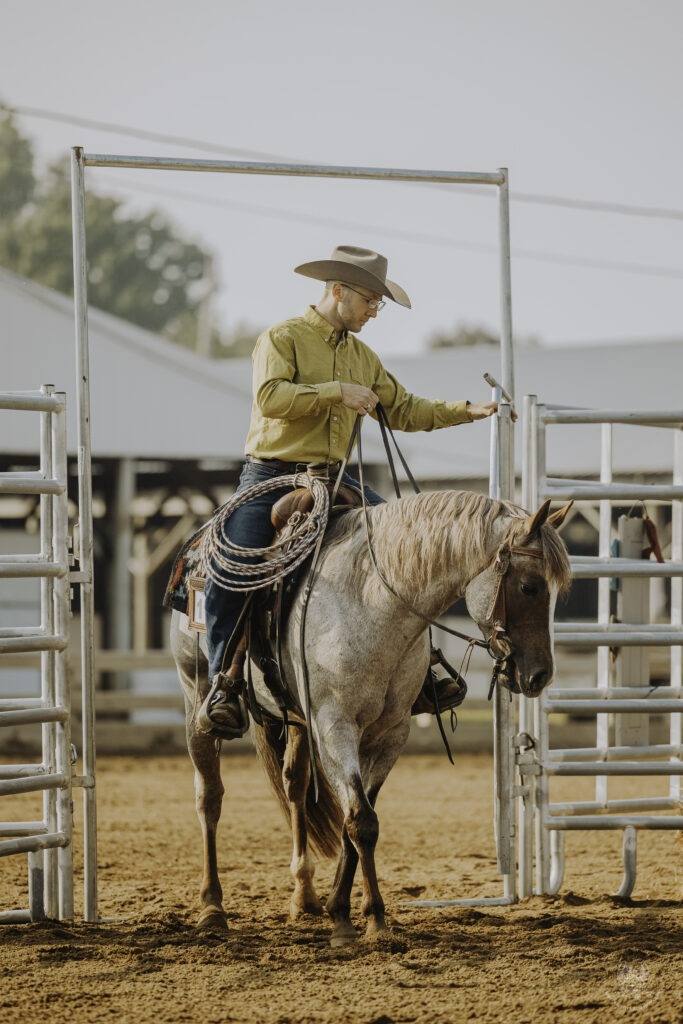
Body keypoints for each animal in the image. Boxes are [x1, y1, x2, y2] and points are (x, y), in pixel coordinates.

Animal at [169, 490, 572, 945]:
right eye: (529, 586)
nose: (539, 675)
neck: (371, 600)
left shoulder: (390, 732)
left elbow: (358, 820)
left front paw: (343, 910)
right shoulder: (334, 726)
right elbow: (361, 821)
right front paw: (368, 921)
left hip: (297, 723)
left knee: (295, 787)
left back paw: (303, 896)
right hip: (195, 701)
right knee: (209, 797)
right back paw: (212, 907)